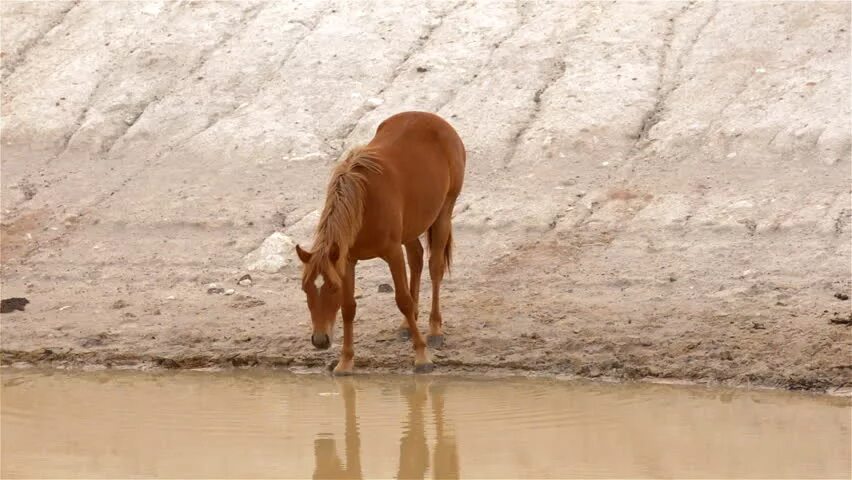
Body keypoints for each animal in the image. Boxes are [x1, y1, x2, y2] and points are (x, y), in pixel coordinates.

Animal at [294, 112, 466, 376]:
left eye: (332, 288)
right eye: (305, 289)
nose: (320, 340)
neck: (364, 203)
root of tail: (435, 119)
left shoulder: (392, 252)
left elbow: (403, 300)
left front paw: (422, 357)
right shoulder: (347, 259)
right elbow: (348, 308)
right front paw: (345, 362)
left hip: (445, 211)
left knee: (434, 267)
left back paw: (435, 329)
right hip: (411, 228)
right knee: (416, 258)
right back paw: (407, 326)